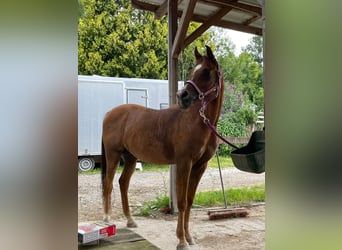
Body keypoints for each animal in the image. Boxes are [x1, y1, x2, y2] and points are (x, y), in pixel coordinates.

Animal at [101, 46, 224, 249]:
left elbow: (190, 201)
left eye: (206, 72)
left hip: (131, 158)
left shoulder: (200, 166)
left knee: (123, 183)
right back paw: (106, 218)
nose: (182, 96)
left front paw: (189, 236)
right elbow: (181, 201)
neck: (198, 123)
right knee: (108, 184)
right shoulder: (184, 163)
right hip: (113, 155)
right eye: (192, 70)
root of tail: (109, 113)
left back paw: (130, 220)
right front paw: (181, 240)